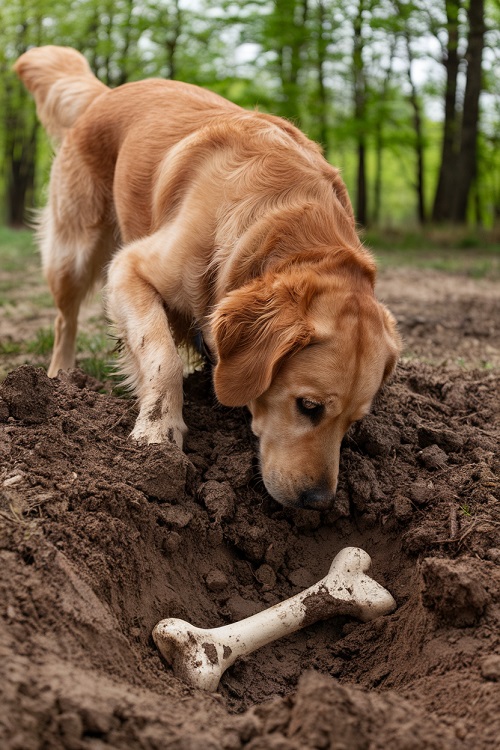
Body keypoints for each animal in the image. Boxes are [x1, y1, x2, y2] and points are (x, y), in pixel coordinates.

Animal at [13, 45, 400, 512]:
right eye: (308, 406)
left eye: (354, 423)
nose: (319, 501)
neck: (276, 225)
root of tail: (105, 93)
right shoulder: (128, 267)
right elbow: (162, 356)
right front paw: (158, 434)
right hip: (74, 250)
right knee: (63, 320)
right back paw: (62, 379)